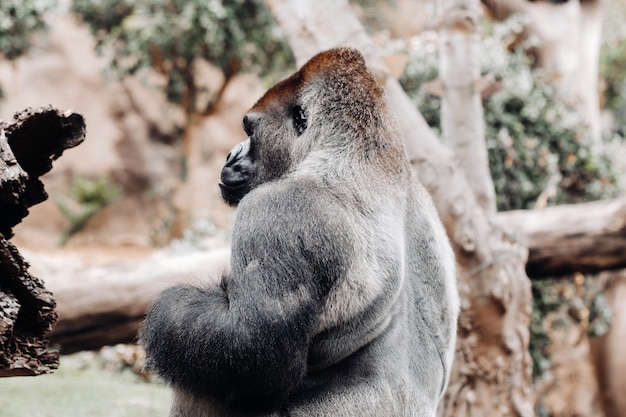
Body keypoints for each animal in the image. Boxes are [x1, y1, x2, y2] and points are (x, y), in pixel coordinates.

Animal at [144, 47, 460, 414]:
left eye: (250, 131)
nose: (230, 154)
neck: (360, 149)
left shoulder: (278, 211)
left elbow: (246, 348)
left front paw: (171, 308)